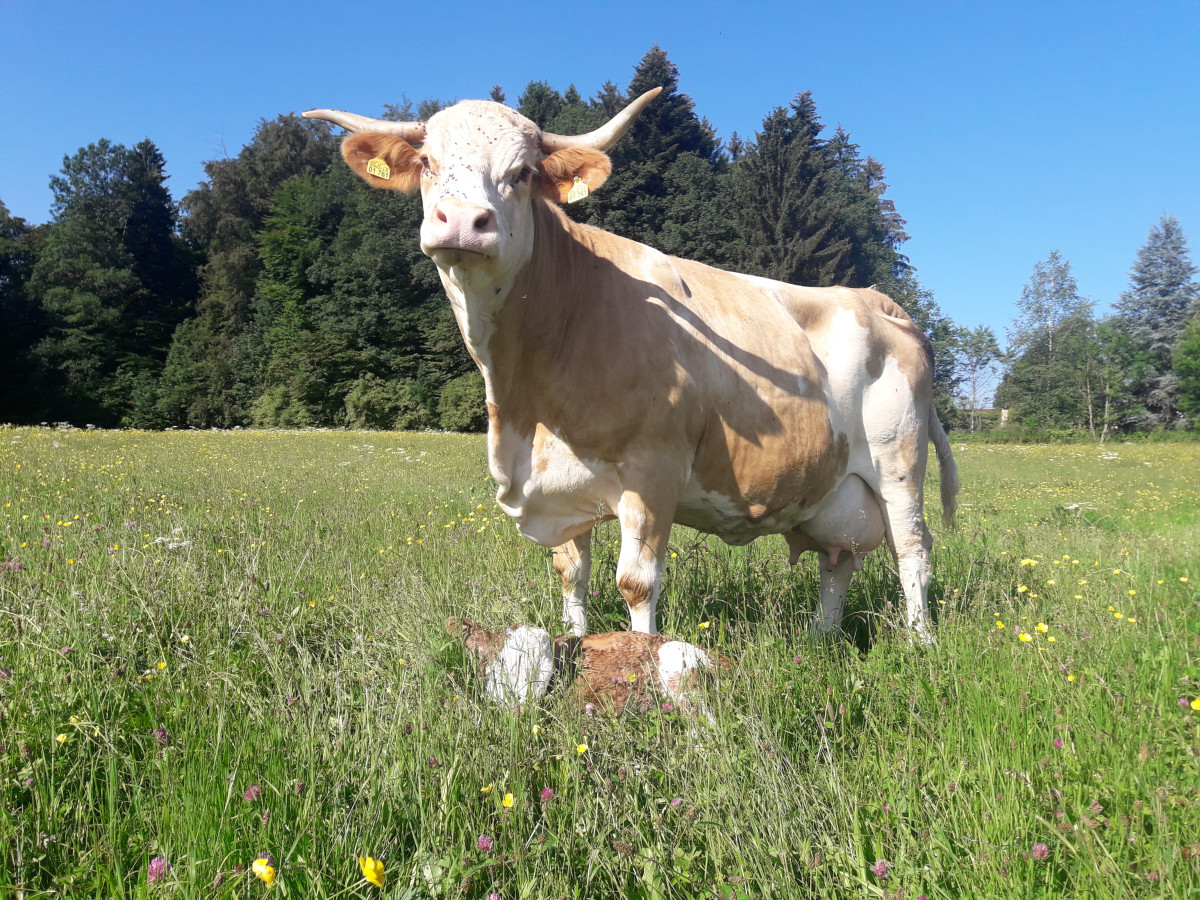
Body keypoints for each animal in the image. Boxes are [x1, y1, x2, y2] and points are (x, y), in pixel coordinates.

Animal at [304, 88, 960, 643]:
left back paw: (920, 642)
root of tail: (880, 302)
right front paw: (574, 645)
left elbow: (636, 583)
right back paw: (823, 637)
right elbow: (572, 575)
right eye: (429, 164)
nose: (463, 221)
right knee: (839, 559)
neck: (524, 402)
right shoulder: (562, 488)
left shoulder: (653, 470)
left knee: (913, 551)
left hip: (900, 465)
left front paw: (642, 665)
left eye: (522, 174)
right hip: (835, 487)